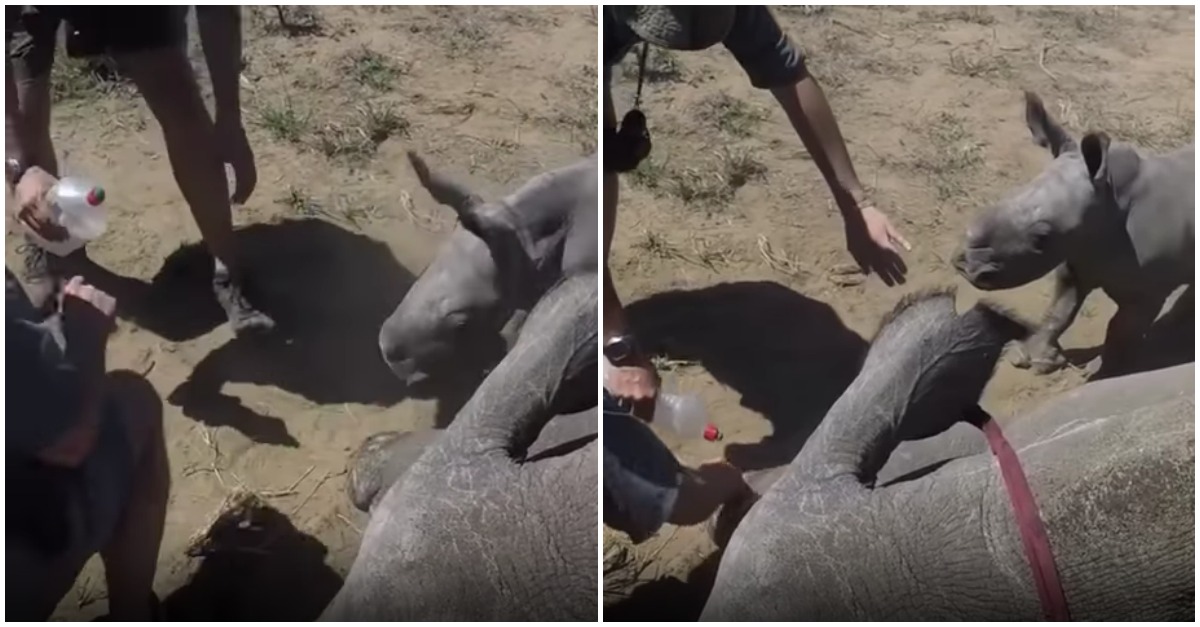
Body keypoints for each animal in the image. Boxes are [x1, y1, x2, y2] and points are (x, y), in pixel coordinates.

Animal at [950, 89, 1195, 374]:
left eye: (1041, 238)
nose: (967, 267)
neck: (1108, 202)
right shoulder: (1076, 257)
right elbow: (1060, 309)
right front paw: (1034, 359)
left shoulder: (1146, 292)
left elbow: (1119, 331)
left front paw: (1104, 374)